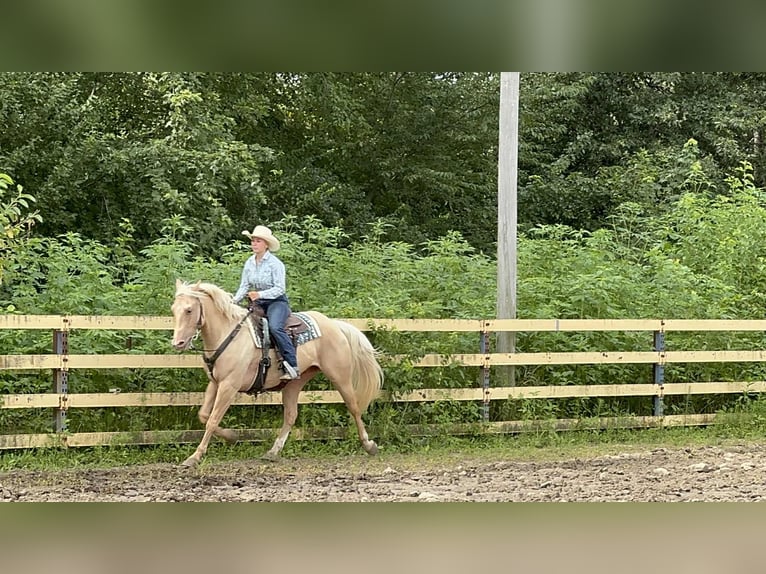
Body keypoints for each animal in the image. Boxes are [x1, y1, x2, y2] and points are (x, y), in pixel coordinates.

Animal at [170, 279, 384, 467]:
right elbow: (204, 415)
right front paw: (231, 436)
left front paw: (194, 457)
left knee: (354, 407)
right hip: (295, 383)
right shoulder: (215, 383)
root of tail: (334, 324)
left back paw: (369, 445)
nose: (178, 343)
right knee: (290, 415)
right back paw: (273, 452)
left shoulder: (229, 386)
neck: (228, 334)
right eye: (173, 309)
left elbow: (212, 420)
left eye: (189, 310)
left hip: (340, 377)